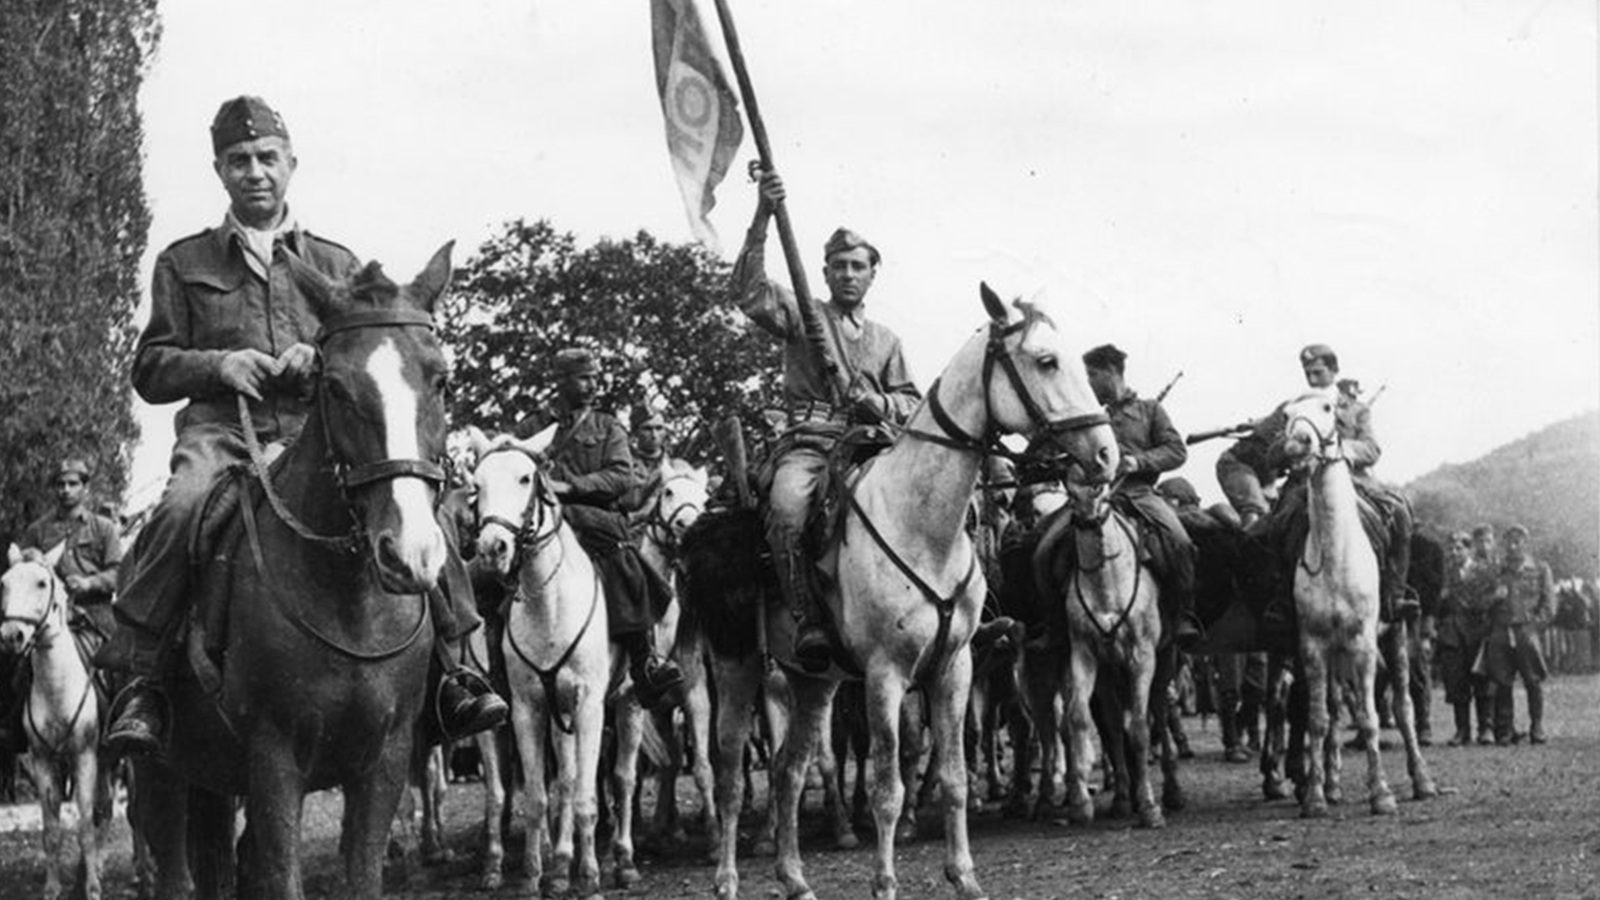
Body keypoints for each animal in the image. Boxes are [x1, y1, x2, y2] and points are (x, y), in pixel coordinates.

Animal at [0, 544, 114, 896]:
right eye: (4, 583)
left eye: (41, 583)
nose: (12, 635)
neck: (57, 686)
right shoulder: (42, 760)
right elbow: (51, 830)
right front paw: (52, 888)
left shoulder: (85, 757)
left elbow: (85, 825)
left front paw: (92, 888)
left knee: (104, 811)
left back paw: (97, 868)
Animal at [132, 243, 460, 896]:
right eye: (334, 386)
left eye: (439, 379)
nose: (409, 554)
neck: (348, 601)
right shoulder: (274, 759)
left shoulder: (383, 760)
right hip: (161, 775)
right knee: (177, 874)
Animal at [467, 432, 614, 890]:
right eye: (476, 484)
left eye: (525, 477)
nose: (492, 548)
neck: (549, 605)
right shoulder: (526, 708)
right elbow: (532, 797)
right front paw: (532, 875)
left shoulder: (589, 707)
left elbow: (584, 796)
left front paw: (589, 878)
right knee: (551, 783)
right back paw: (548, 864)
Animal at [700, 285, 1113, 896]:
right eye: (1045, 361)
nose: (1107, 454)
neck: (920, 523)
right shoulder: (885, 674)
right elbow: (888, 789)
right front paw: (886, 883)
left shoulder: (955, 667)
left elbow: (956, 777)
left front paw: (964, 877)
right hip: (737, 667)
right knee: (730, 773)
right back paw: (727, 879)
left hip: (812, 681)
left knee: (787, 770)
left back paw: (795, 878)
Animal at [1286, 389, 1440, 816]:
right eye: (1285, 414)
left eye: (1327, 408)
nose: (1296, 443)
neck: (1336, 554)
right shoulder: (1312, 646)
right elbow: (1319, 719)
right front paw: (1316, 796)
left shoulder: (1363, 644)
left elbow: (1371, 717)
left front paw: (1382, 794)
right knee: (1337, 710)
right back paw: (1334, 785)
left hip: (1395, 634)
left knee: (1403, 706)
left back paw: (1423, 781)